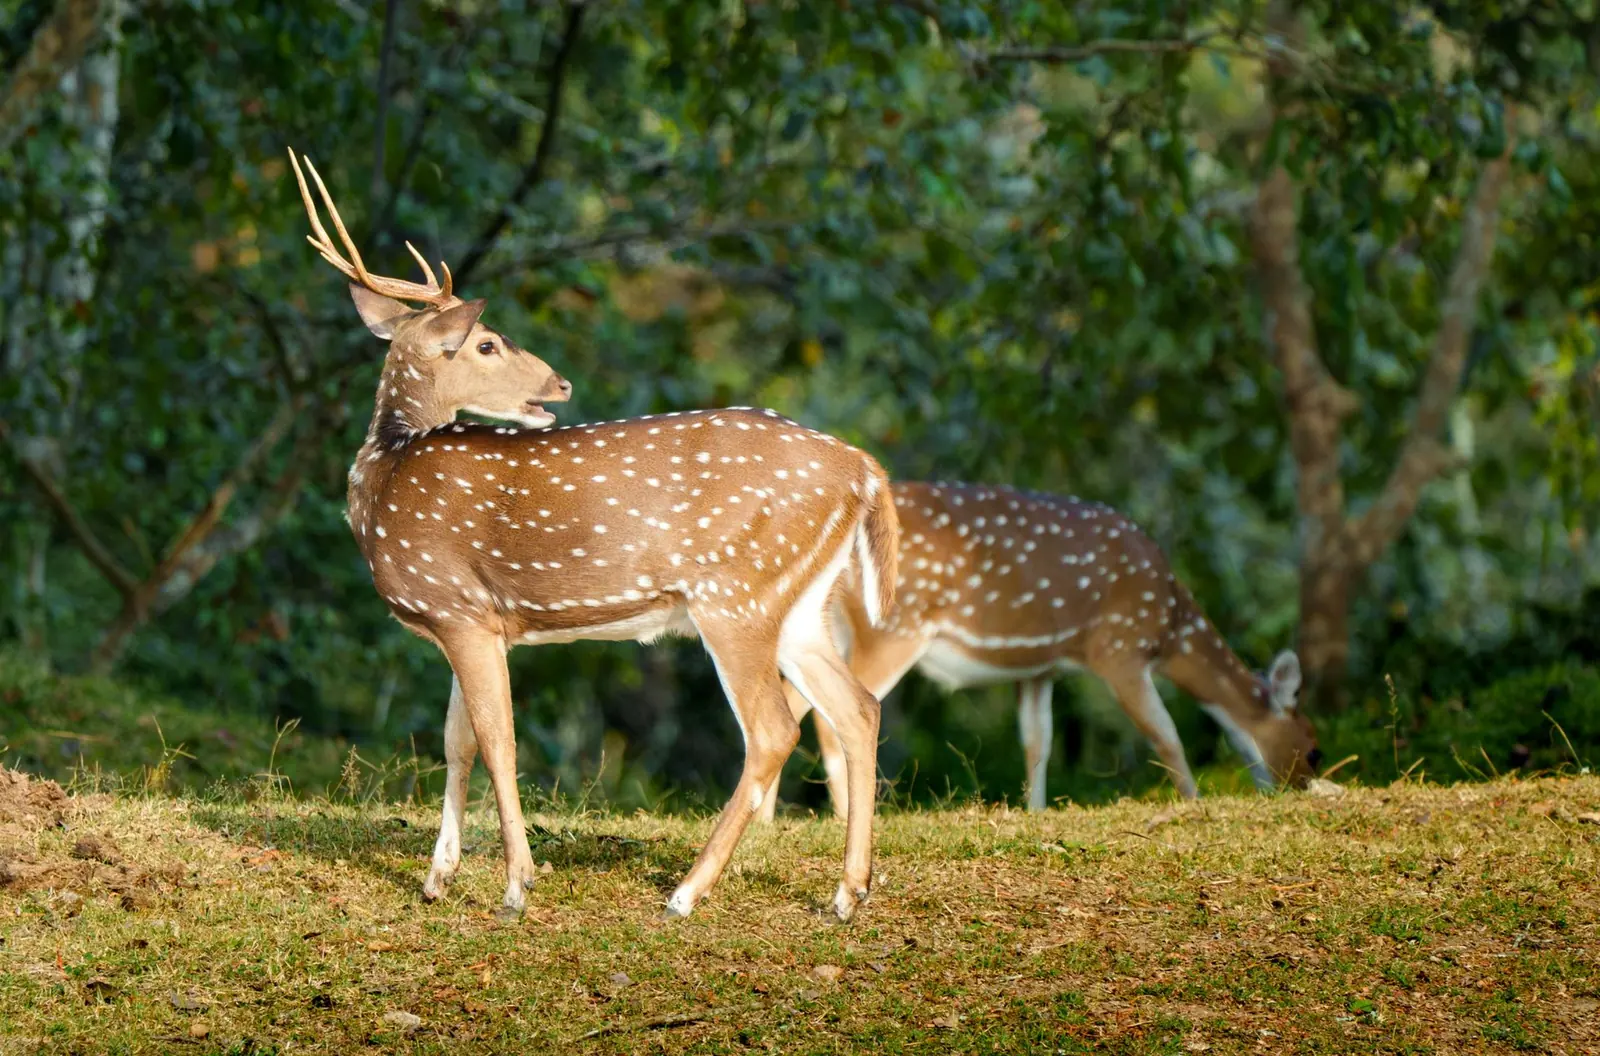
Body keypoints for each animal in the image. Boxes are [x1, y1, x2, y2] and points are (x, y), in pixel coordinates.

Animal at [287, 149, 899, 922]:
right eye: (487, 342)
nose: (561, 384)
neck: (387, 473)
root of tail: (864, 468)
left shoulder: (461, 610)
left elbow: (498, 740)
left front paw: (517, 885)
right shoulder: (467, 618)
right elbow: (458, 742)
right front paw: (438, 877)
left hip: (736, 594)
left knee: (773, 729)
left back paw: (687, 891)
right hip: (798, 602)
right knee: (857, 708)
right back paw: (848, 893)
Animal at [764, 482, 1320, 817]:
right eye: (1315, 749)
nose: (1300, 787)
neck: (1169, 624)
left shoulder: (1038, 668)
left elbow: (1038, 741)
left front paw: (1035, 810)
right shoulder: (1119, 647)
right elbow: (1165, 733)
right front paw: (1193, 801)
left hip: (832, 627)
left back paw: (772, 820)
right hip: (895, 627)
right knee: (828, 711)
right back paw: (840, 815)